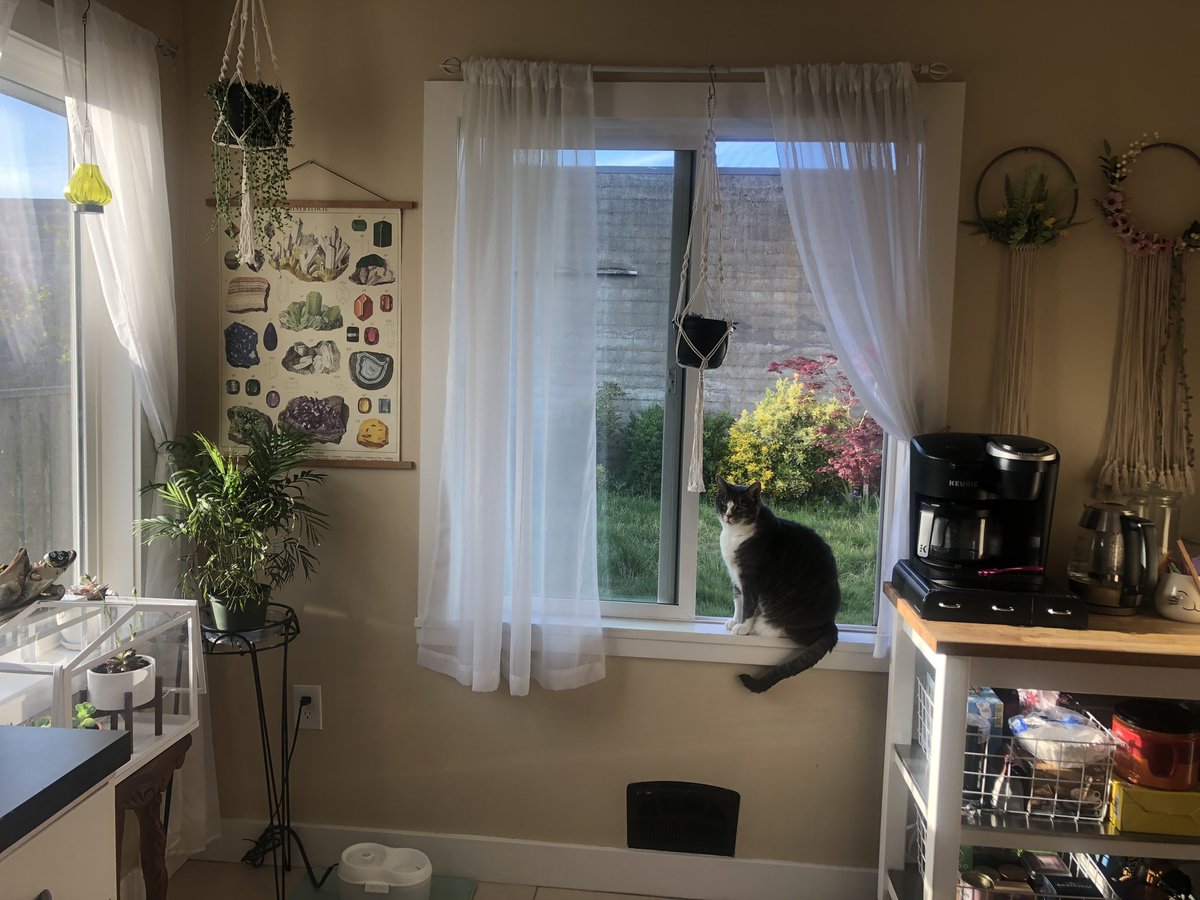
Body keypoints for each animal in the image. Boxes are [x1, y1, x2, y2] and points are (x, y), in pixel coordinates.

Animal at [715, 475, 840, 696]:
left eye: (740, 506)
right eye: (723, 503)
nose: (728, 515)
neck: (734, 536)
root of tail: (830, 624)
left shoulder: (750, 578)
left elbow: (748, 605)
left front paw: (743, 627)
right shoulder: (736, 577)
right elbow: (738, 601)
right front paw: (734, 621)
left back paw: (763, 627)